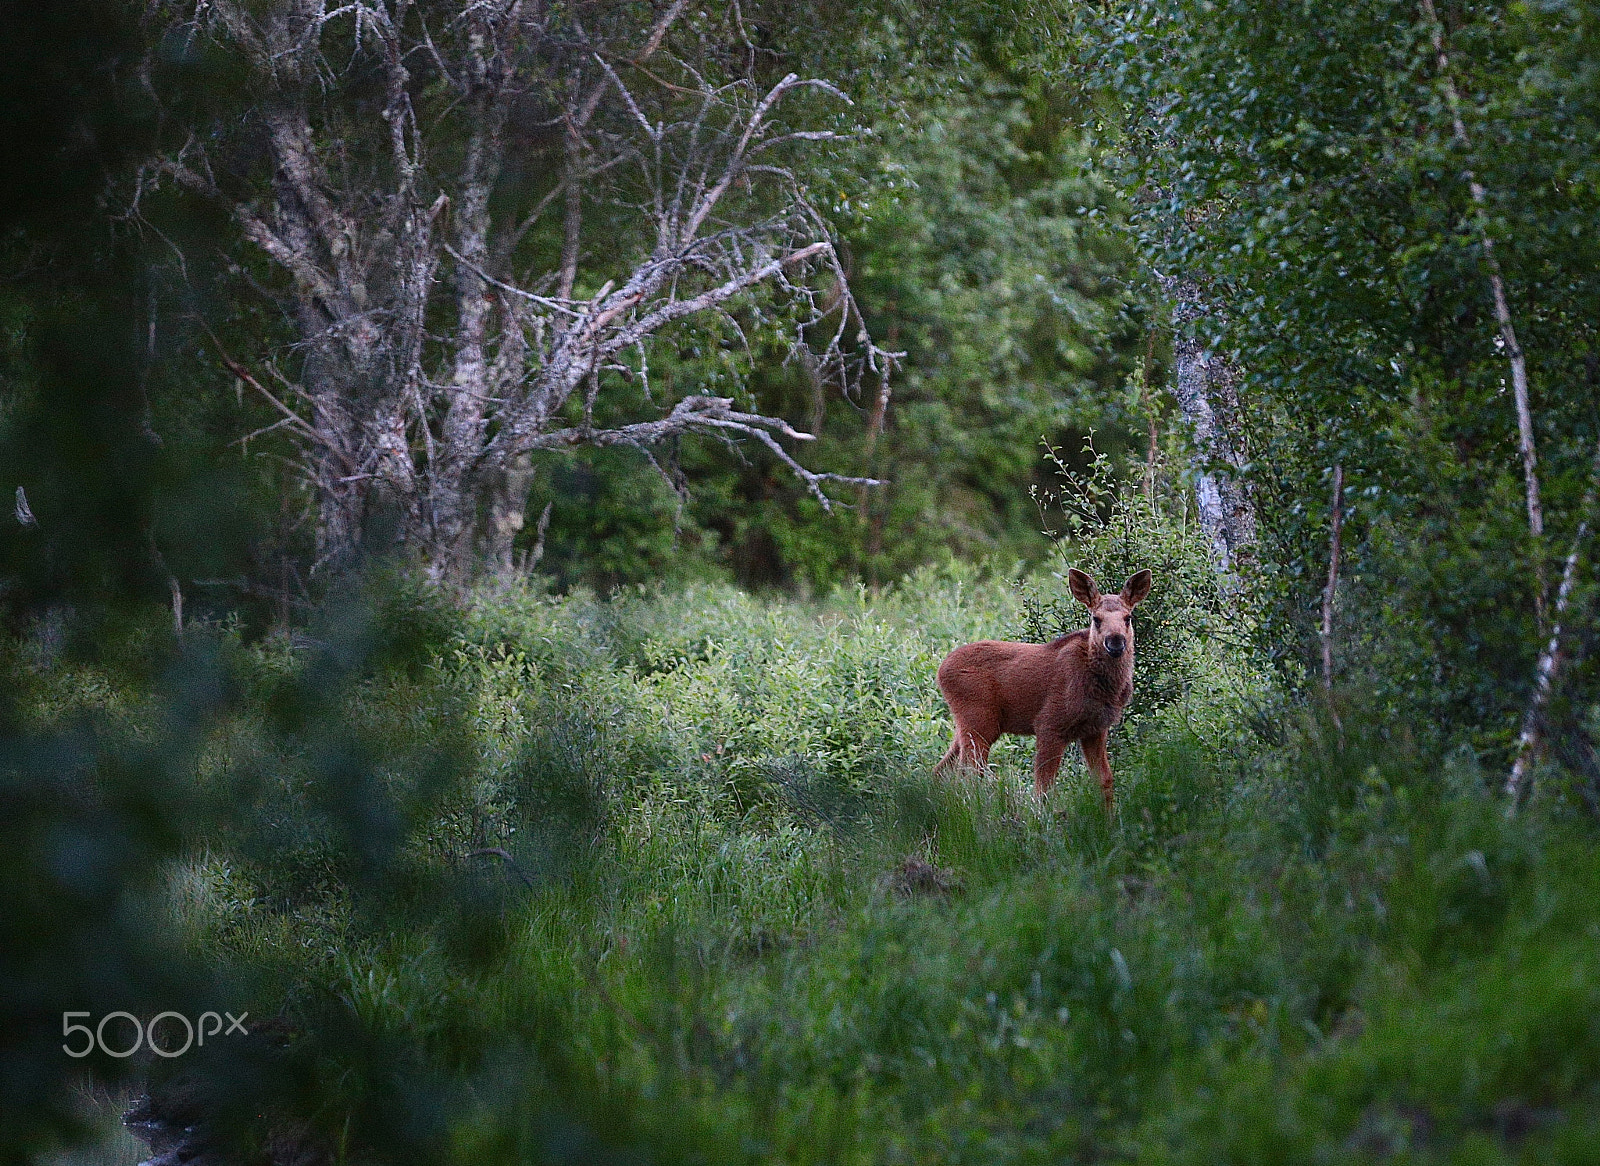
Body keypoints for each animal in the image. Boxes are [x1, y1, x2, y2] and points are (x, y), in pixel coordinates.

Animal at [934, 566, 1152, 809]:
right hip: (979, 721)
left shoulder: (1095, 729)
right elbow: (1043, 788)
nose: (1115, 641)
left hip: (966, 725)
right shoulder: (1049, 724)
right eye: (1096, 618)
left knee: (941, 769)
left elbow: (1104, 780)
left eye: (1128, 617)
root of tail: (940, 671)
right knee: (969, 775)